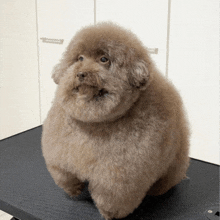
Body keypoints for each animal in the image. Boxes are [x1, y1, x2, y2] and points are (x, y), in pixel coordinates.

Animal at [42, 21, 190, 219]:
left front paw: (108, 213)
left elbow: (112, 195)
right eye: (80, 58)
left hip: (173, 163)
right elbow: (64, 174)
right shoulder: (60, 152)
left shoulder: (119, 176)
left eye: (104, 59)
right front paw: (74, 189)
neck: (94, 123)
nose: (81, 74)